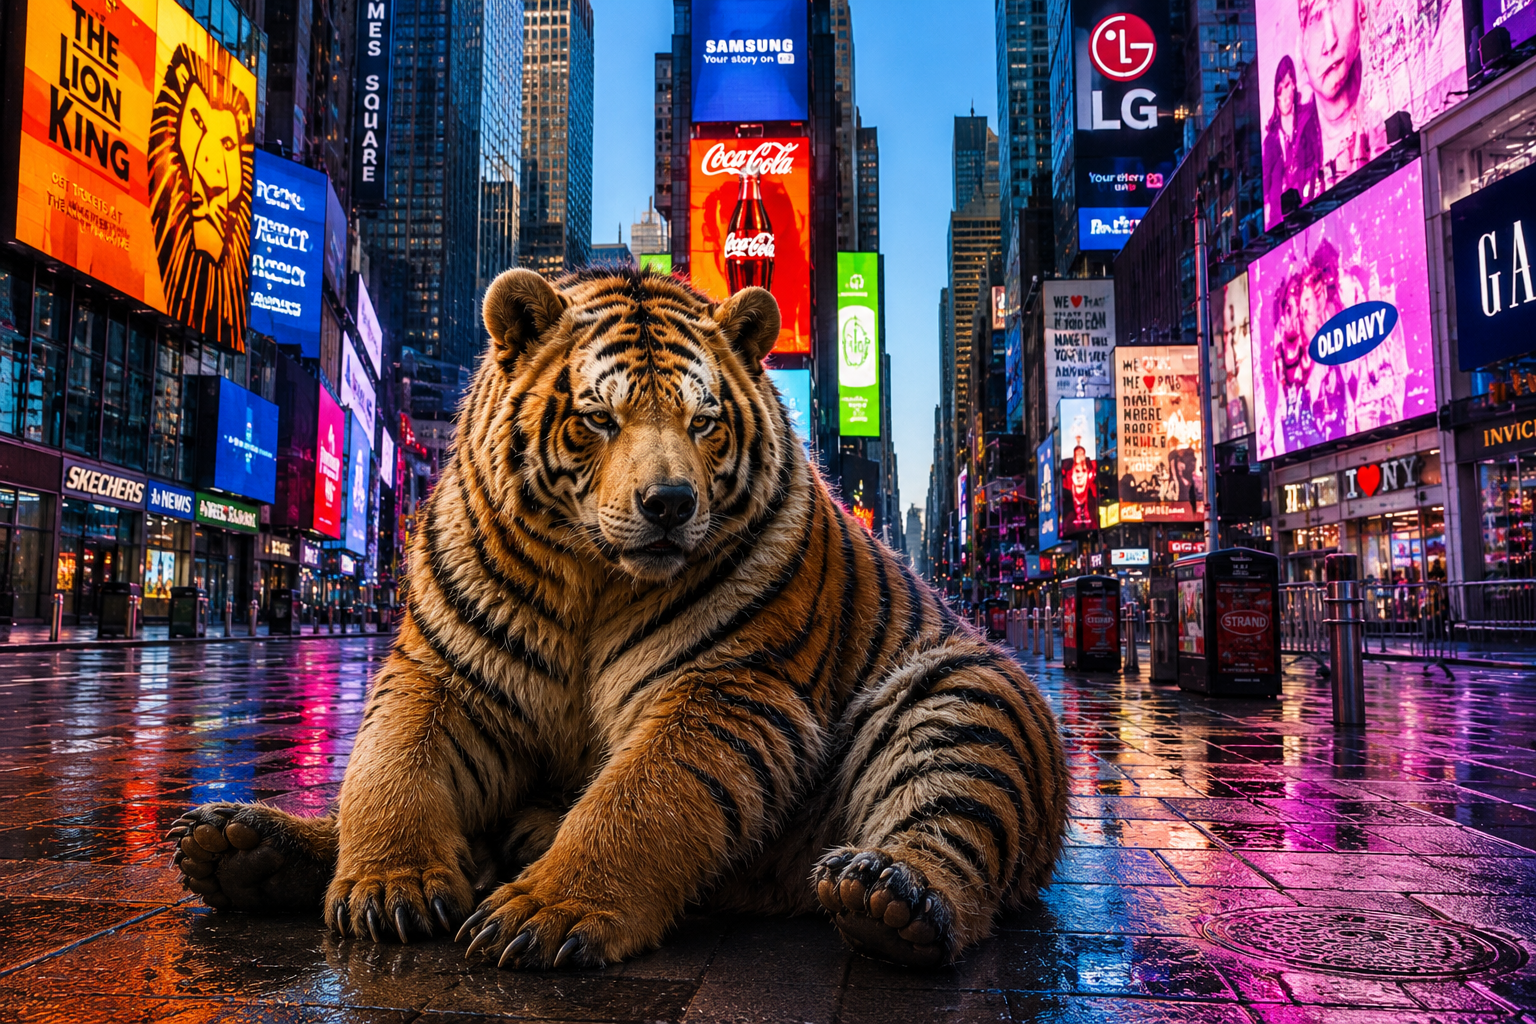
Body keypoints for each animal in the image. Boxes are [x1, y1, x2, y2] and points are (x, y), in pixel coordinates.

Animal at [168, 267, 1068, 969]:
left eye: (704, 422)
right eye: (598, 418)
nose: (669, 504)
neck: (589, 578)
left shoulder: (730, 691)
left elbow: (639, 802)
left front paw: (548, 909)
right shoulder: (444, 671)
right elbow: (389, 769)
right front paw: (389, 883)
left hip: (965, 690)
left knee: (948, 831)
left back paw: (889, 897)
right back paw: (243, 845)